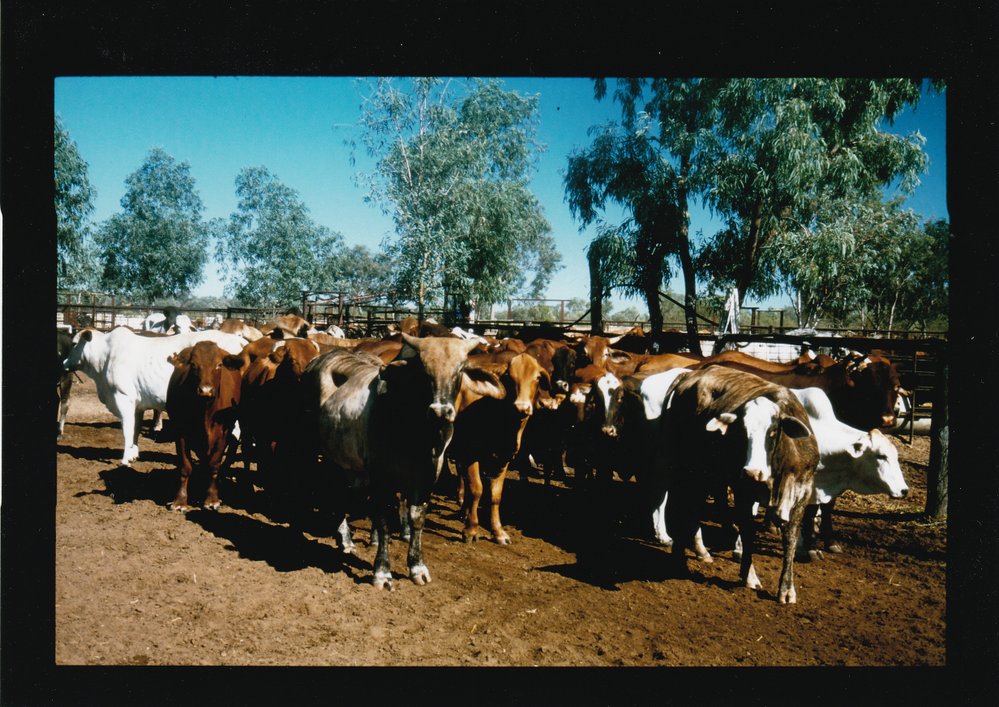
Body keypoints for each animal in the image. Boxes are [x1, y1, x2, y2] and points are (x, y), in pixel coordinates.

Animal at [62, 327, 247, 464]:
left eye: (74, 343)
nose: (63, 363)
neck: (105, 357)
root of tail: (239, 341)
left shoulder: (123, 397)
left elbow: (127, 429)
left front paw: (125, 459)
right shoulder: (138, 403)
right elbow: (135, 429)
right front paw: (133, 454)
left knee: (236, 434)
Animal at [165, 341, 244, 511]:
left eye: (219, 365)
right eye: (193, 365)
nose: (205, 390)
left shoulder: (223, 434)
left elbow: (214, 465)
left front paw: (212, 499)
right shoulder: (180, 432)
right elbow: (185, 466)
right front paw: (180, 501)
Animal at [304, 334, 503, 589]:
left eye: (459, 370)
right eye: (423, 371)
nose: (441, 411)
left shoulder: (428, 476)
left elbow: (417, 518)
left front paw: (417, 567)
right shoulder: (380, 477)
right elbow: (384, 521)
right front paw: (381, 571)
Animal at [448, 353, 549, 544]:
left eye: (537, 378)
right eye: (509, 377)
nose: (522, 407)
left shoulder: (503, 459)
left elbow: (495, 496)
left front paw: (498, 532)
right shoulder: (470, 453)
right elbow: (477, 490)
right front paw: (471, 529)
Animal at [654, 366, 818, 604]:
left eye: (772, 431)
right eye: (741, 432)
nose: (753, 472)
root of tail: (691, 375)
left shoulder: (802, 493)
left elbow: (790, 539)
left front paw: (787, 589)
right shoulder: (743, 492)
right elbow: (748, 533)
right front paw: (749, 576)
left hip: (705, 474)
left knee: (694, 506)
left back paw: (700, 551)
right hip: (684, 466)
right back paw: (678, 556)